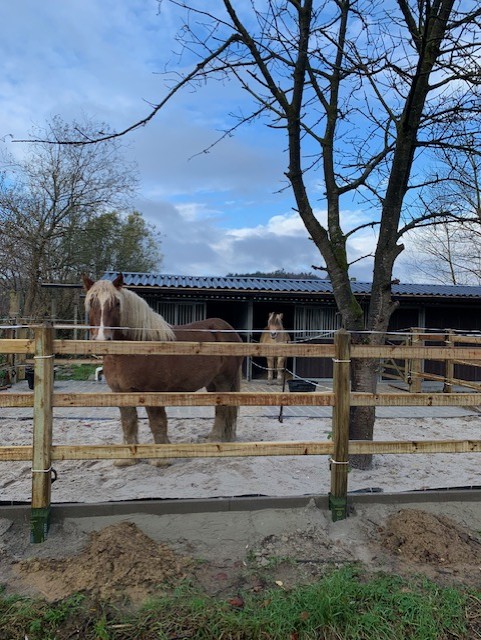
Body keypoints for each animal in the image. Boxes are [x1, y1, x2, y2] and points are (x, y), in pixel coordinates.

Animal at [82, 273, 244, 466]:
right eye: (91, 302)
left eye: (117, 303)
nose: (101, 340)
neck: (135, 348)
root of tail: (228, 329)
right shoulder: (120, 392)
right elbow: (128, 423)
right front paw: (128, 459)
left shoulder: (153, 392)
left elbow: (157, 423)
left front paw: (161, 458)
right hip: (211, 383)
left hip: (224, 380)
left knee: (223, 409)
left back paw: (215, 440)